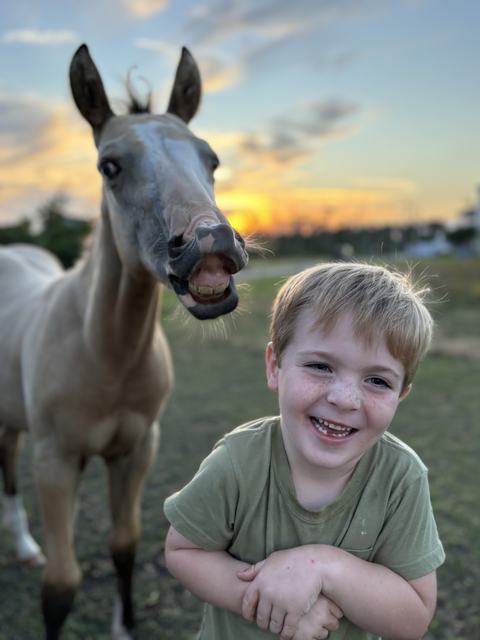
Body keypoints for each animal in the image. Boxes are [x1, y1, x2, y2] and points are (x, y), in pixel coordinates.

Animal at [0, 44, 248, 639]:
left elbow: (124, 547)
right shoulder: (54, 459)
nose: (210, 244)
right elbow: (60, 585)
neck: (103, 353)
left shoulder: (136, 451)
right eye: (108, 166)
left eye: (211, 160)